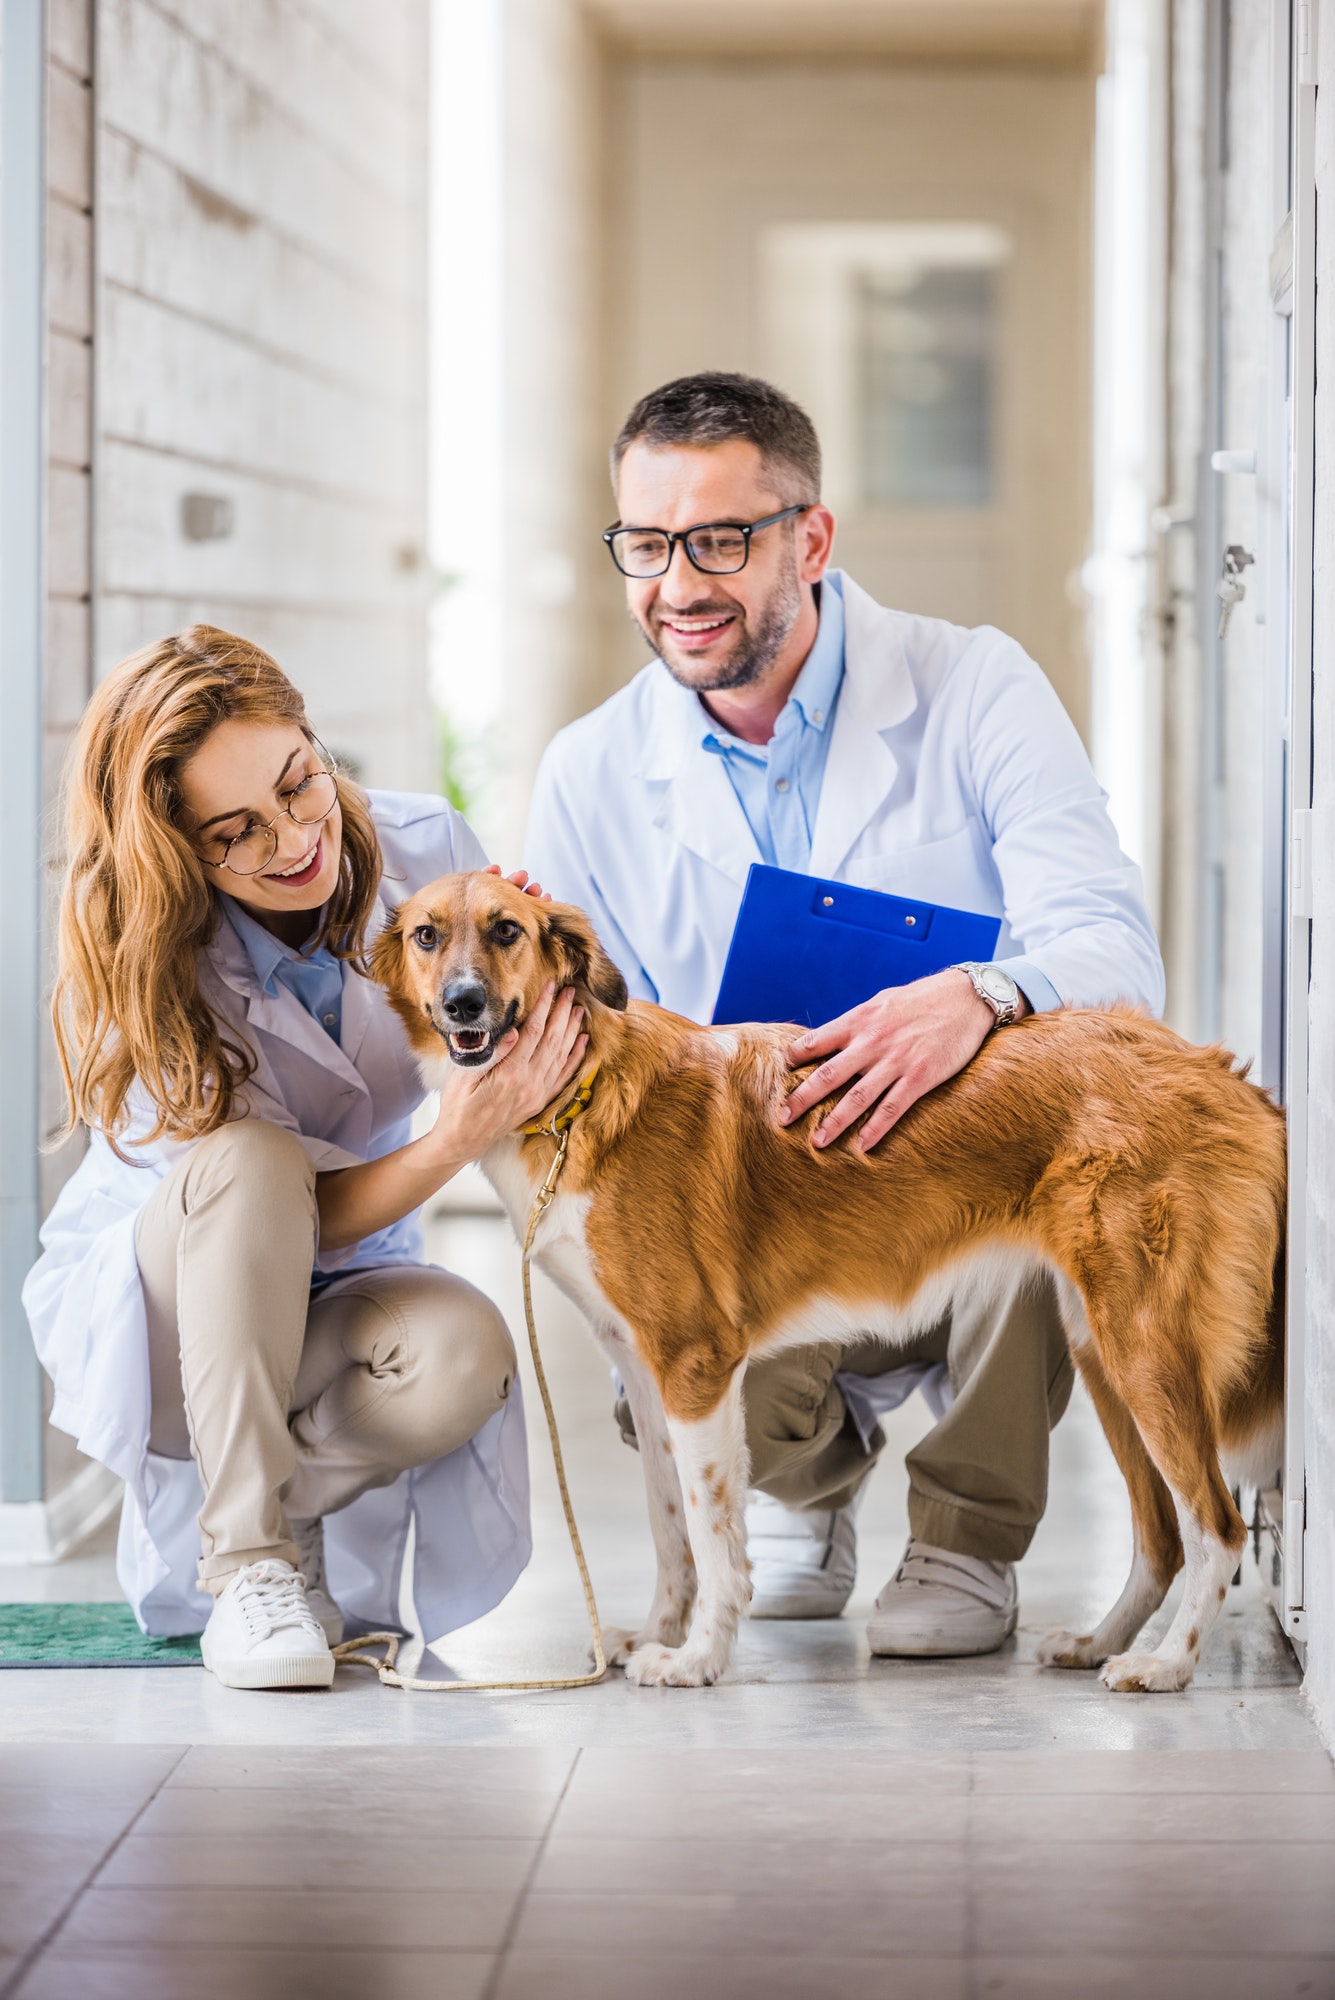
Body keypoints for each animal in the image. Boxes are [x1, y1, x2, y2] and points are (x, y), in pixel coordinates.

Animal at [369, 872, 1287, 1688]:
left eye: (506, 930)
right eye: (426, 936)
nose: (462, 1004)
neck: (580, 1092)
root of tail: (1222, 1076)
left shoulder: (695, 1364)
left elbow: (711, 1531)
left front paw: (698, 1659)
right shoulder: (644, 1368)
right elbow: (670, 1528)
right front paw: (659, 1634)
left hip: (1142, 1348)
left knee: (1218, 1526)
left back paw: (1167, 1665)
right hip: (1104, 1349)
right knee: (1160, 1534)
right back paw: (1100, 1643)